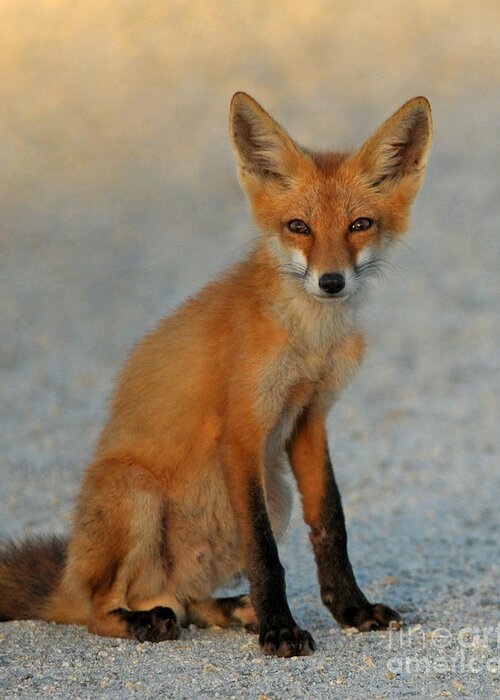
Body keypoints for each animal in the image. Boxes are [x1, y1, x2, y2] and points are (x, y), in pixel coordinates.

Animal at [0, 91, 432, 656]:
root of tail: (68, 580)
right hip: (136, 492)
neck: (307, 342)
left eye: (359, 225)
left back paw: (228, 609)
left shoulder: (309, 420)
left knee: (189, 604)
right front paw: (280, 629)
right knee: (101, 611)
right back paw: (143, 623)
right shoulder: (243, 431)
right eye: (299, 227)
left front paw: (351, 609)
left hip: (276, 491)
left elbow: (331, 525)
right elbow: (264, 553)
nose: (331, 281)